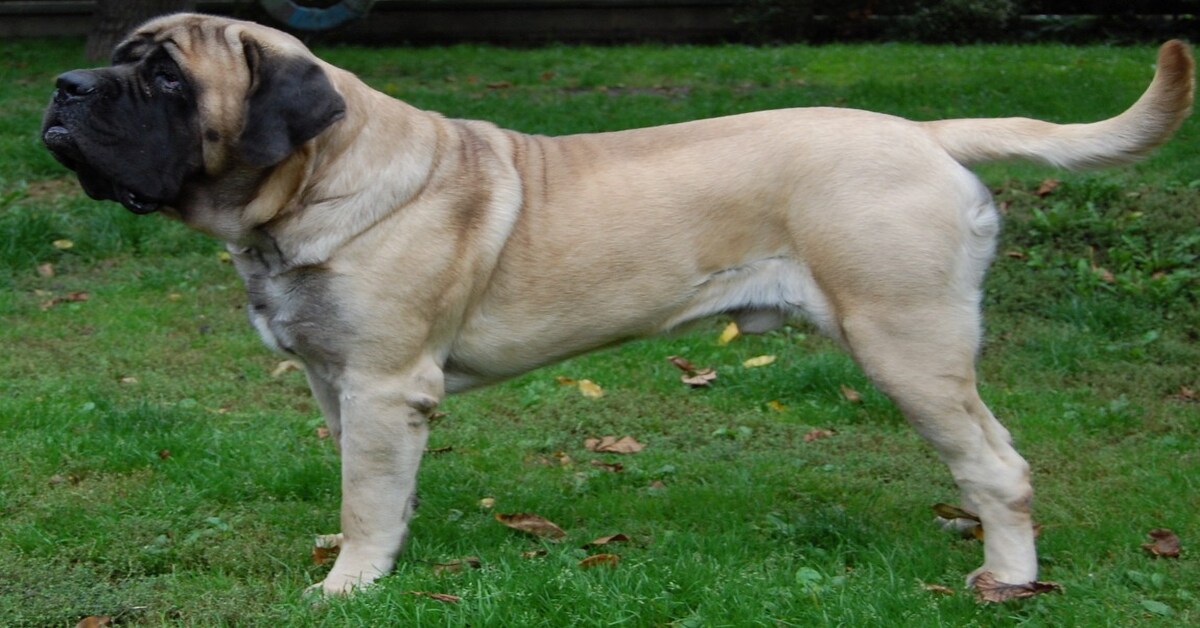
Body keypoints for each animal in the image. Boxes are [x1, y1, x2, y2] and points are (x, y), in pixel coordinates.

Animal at [42, 12, 1195, 597]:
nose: (63, 86)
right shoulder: (340, 386)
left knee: (1000, 465)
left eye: (165, 80)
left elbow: (368, 496)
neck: (312, 184)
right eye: (117, 64)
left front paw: (351, 587)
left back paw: (1006, 575)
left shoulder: (383, 386)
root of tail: (926, 132)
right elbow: (363, 490)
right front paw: (362, 554)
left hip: (908, 343)